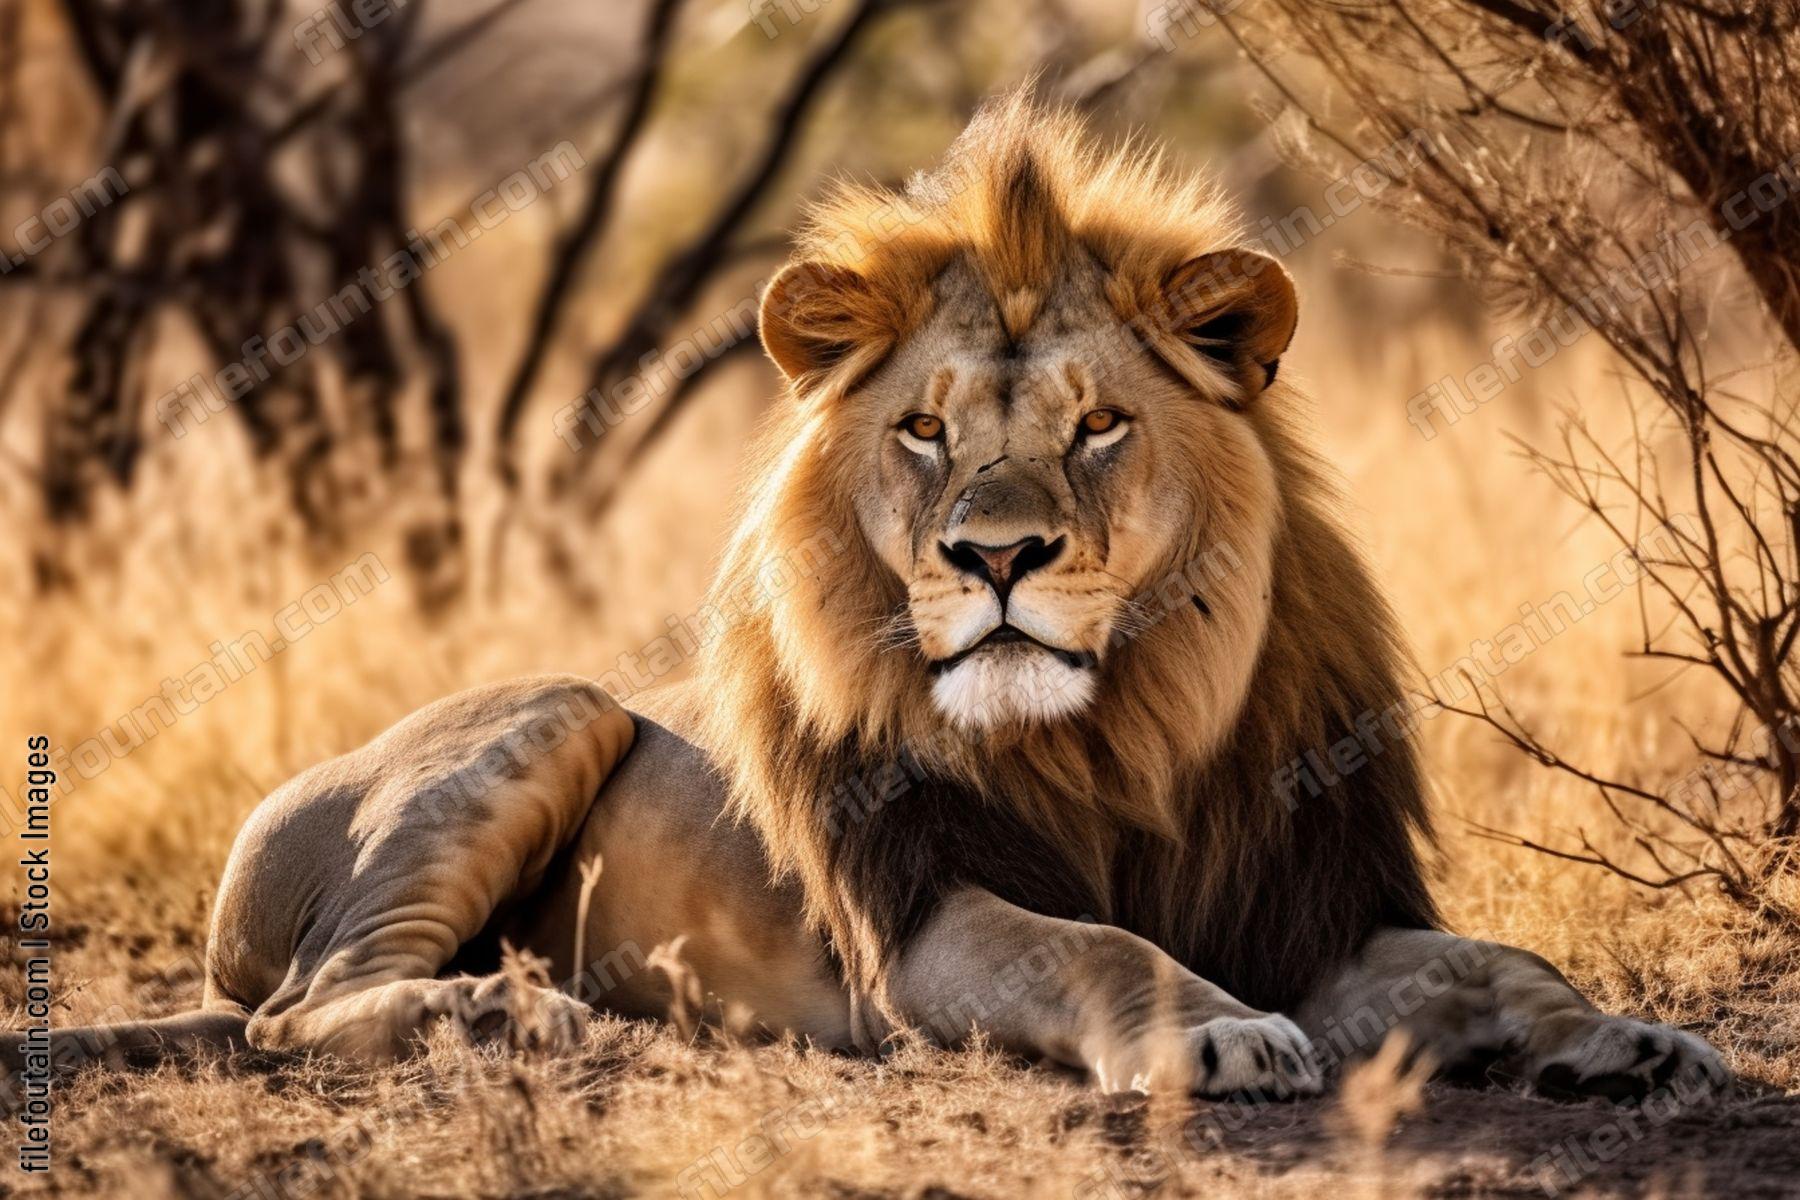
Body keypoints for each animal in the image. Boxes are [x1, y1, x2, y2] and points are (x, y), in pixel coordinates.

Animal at [8, 94, 1726, 1103]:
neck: (1126, 737)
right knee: (301, 1014)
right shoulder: (920, 923)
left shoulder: (1313, 904)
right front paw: (1215, 1033)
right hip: (548, 713)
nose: (997, 558)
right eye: (924, 431)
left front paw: (1630, 1040)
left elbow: (1495, 966)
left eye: (1100, 424)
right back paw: (531, 1018)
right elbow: (1098, 950)